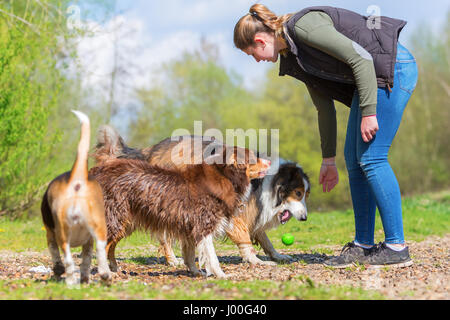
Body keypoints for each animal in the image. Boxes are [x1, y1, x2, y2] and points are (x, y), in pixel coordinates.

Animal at [40, 112, 110, 284]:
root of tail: (77, 179)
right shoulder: (88, 242)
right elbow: (86, 261)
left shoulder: (50, 236)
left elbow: (56, 255)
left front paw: (58, 271)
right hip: (99, 228)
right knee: (100, 251)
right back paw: (105, 275)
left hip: (63, 235)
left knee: (68, 260)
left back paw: (70, 282)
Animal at [89, 143, 268, 278]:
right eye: (254, 158)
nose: (269, 161)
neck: (224, 176)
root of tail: (96, 171)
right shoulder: (204, 225)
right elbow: (212, 257)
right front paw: (221, 275)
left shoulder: (189, 227)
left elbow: (189, 254)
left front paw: (196, 272)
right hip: (115, 218)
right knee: (104, 247)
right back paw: (107, 272)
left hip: (123, 222)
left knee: (111, 247)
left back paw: (115, 269)